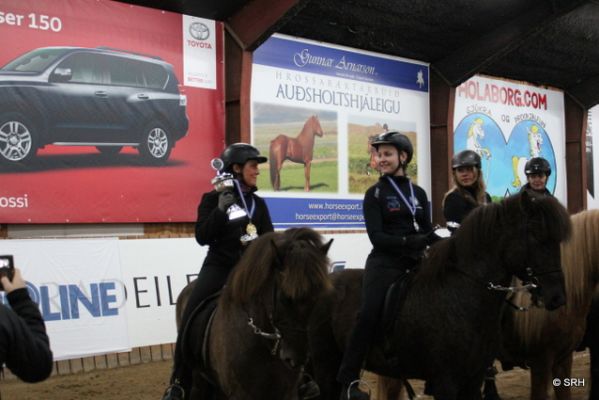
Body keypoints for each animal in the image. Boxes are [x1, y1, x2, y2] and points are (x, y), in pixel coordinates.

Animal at [177, 228, 333, 400]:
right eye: (284, 298)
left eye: (317, 298)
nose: (297, 359)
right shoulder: (240, 394)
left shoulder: (288, 393)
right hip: (198, 377)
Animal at [308, 190, 571, 400]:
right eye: (536, 235)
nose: (557, 298)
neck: (462, 294)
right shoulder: (446, 381)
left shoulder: (472, 380)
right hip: (325, 367)